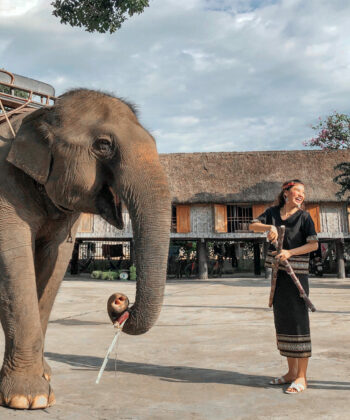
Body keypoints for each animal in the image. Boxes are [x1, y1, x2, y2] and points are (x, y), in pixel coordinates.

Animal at [0, 89, 171, 410]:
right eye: (103, 145)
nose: (120, 300)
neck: (38, 116)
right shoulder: (3, 188)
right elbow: (14, 258)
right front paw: (28, 398)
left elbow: (55, 262)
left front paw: (44, 378)